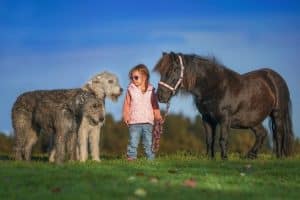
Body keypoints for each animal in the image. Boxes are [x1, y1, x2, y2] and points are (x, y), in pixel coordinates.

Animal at [154, 51, 294, 159]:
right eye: (161, 72)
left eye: (173, 70)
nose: (160, 96)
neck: (214, 86)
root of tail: (275, 77)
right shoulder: (207, 118)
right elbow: (209, 139)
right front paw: (210, 158)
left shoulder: (224, 118)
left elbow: (223, 139)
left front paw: (224, 158)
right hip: (251, 120)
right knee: (262, 133)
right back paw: (251, 156)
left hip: (278, 114)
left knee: (279, 134)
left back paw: (278, 157)